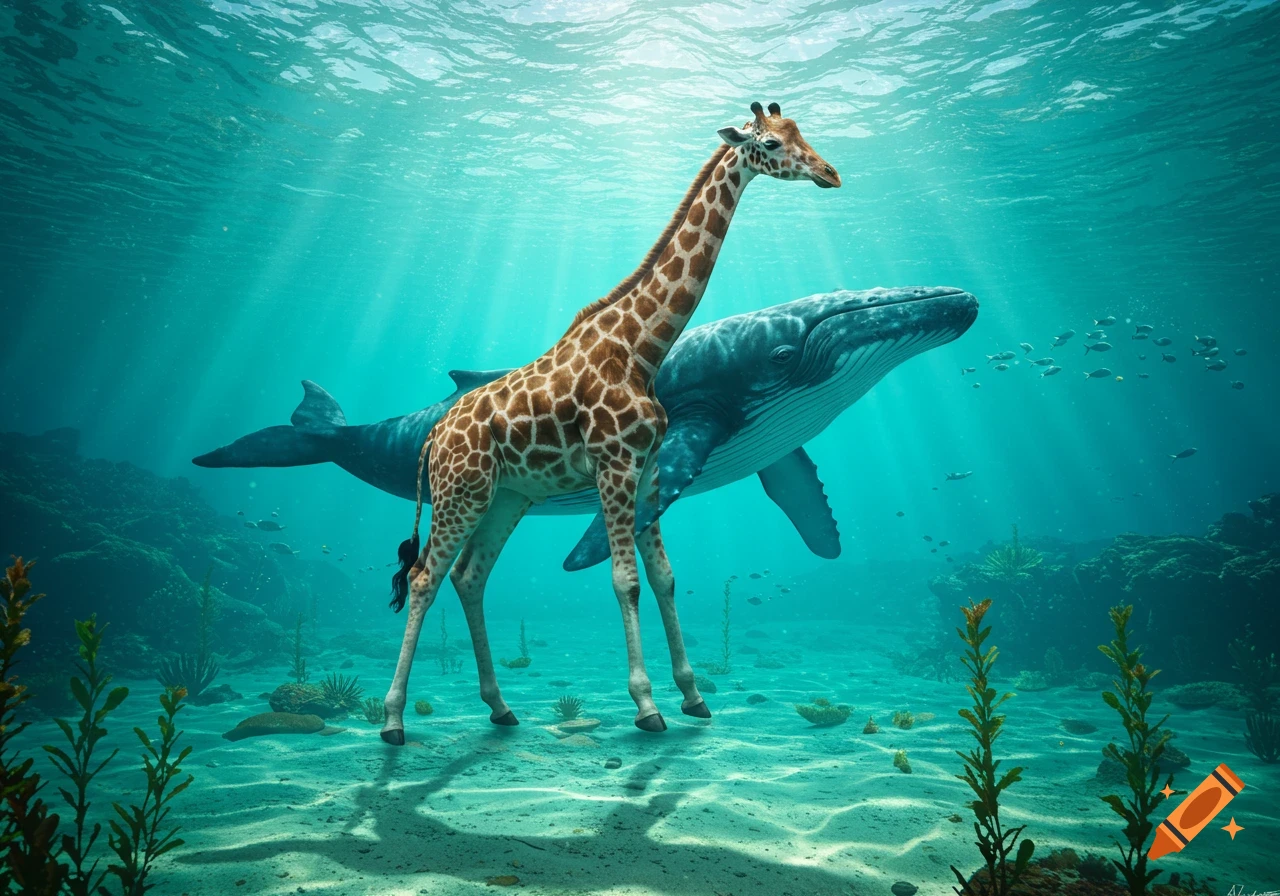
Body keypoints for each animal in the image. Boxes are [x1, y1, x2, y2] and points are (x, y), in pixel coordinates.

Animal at [381, 102, 841, 744]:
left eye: (802, 131)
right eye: (771, 143)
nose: (830, 173)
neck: (641, 348)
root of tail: (432, 437)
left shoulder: (647, 468)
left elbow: (665, 576)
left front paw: (694, 697)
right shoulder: (613, 463)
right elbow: (626, 580)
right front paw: (647, 707)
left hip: (506, 498)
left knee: (470, 577)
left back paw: (501, 708)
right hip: (460, 493)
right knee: (425, 577)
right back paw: (393, 719)